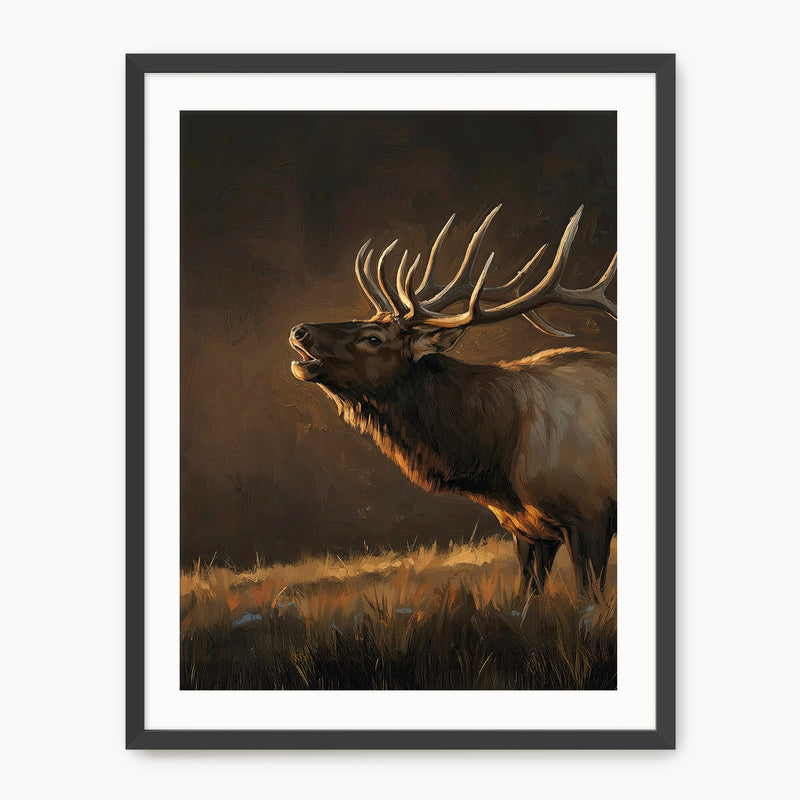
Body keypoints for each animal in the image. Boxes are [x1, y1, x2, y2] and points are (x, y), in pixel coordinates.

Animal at [289, 205, 617, 597]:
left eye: (373, 338)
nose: (300, 331)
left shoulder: (591, 515)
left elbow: (589, 598)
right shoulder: (527, 529)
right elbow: (528, 596)